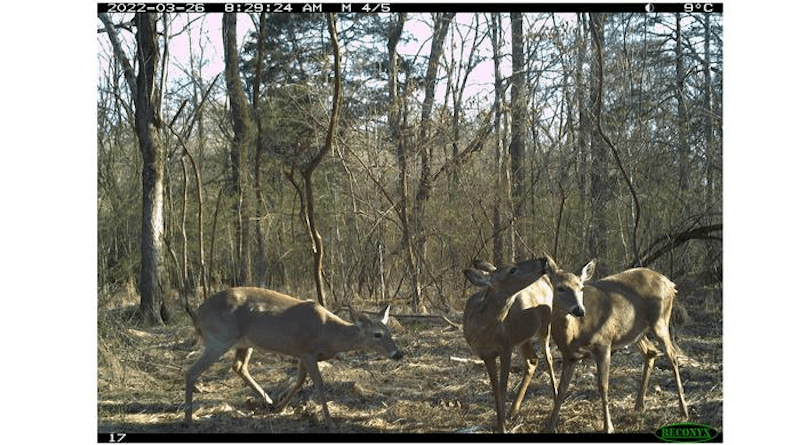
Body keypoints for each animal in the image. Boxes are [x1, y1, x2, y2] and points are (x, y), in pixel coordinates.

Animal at [184, 286, 404, 428]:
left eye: (390, 332)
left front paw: (280, 408)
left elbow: (299, 381)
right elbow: (318, 383)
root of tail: (198, 313)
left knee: (238, 366)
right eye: (377, 334)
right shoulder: (307, 351)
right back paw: (188, 419)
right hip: (219, 338)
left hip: (244, 343)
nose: (398, 354)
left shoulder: (301, 353)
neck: (329, 334)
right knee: (191, 371)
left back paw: (268, 400)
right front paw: (329, 421)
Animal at [462, 256, 556, 434]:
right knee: (532, 360)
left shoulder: (506, 347)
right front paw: (500, 424)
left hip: (545, 326)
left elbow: (503, 388)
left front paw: (502, 427)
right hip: (523, 338)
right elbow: (495, 389)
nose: (542, 260)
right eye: (511, 270)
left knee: (548, 359)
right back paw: (513, 410)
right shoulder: (486, 355)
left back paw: (555, 402)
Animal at [544, 255, 688, 432]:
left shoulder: (604, 344)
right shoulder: (569, 355)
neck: (574, 333)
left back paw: (683, 410)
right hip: (635, 332)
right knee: (651, 351)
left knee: (672, 356)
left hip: (660, 322)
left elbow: (603, 386)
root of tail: (671, 285)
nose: (579, 310)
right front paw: (550, 426)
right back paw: (639, 405)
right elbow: (561, 389)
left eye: (581, 288)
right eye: (560, 288)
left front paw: (609, 427)